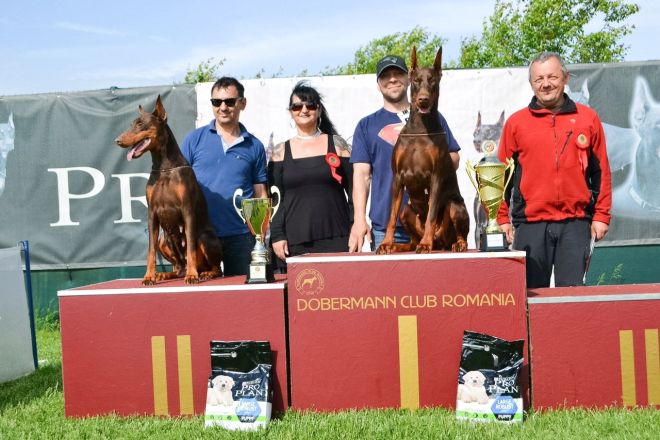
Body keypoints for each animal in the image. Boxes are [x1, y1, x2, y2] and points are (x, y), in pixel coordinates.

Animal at [115, 96, 223, 285]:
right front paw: (149, 276)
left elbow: (190, 248)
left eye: (141, 124)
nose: (117, 141)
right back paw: (165, 274)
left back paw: (203, 273)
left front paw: (192, 275)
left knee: (215, 267)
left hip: (205, 237)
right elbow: (150, 250)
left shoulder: (187, 210)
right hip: (163, 241)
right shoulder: (152, 214)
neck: (164, 167)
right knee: (177, 267)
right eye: (131, 124)